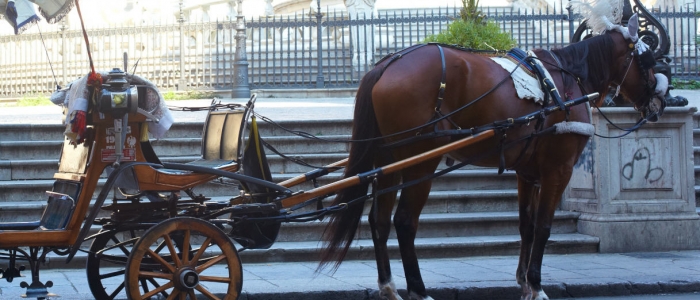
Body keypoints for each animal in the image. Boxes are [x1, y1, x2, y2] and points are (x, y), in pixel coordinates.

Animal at [318, 15, 668, 300]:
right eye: (648, 58)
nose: (660, 102)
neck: (566, 81)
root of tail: (386, 64)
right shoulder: (559, 169)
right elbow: (544, 226)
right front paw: (537, 285)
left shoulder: (527, 173)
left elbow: (527, 225)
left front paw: (524, 282)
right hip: (420, 161)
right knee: (404, 221)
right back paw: (417, 288)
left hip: (387, 159)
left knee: (378, 220)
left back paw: (389, 286)